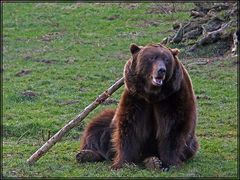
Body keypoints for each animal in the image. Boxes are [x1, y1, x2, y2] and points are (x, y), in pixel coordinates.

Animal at [76, 43, 198, 171]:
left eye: (166, 59)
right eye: (152, 58)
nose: (161, 70)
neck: (153, 95)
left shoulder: (173, 96)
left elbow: (173, 127)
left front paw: (170, 163)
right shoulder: (136, 97)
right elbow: (130, 126)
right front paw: (122, 163)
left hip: (190, 145)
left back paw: (152, 161)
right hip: (109, 128)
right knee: (97, 128)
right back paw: (85, 154)